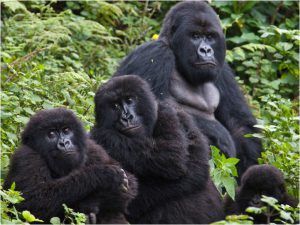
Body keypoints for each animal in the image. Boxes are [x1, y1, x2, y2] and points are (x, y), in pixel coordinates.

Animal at [3, 107, 137, 223]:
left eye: (66, 130)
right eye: (51, 134)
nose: (64, 143)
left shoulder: (93, 149)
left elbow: (129, 186)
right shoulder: (25, 156)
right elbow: (32, 202)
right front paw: (103, 175)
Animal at [90, 75, 224, 223]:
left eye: (130, 100)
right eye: (115, 106)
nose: (126, 118)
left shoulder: (170, 113)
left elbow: (174, 157)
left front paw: (105, 136)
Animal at [115, 0, 262, 177]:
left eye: (210, 37)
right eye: (195, 36)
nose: (206, 50)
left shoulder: (222, 69)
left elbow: (240, 123)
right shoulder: (153, 54)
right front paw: (218, 133)